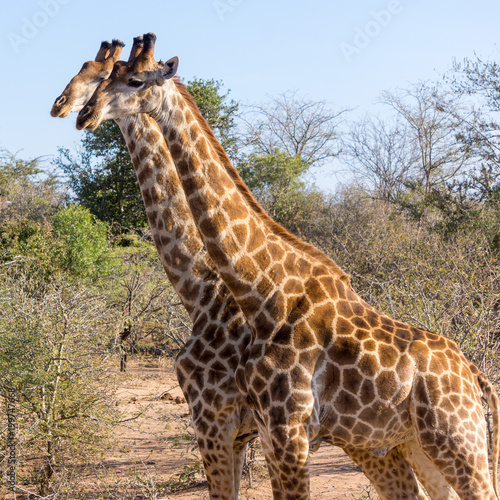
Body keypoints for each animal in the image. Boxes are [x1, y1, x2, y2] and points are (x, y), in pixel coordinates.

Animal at [75, 32, 500, 500]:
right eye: (104, 76)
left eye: (133, 80)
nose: (80, 113)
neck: (258, 292)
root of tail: (476, 377)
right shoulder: (261, 429)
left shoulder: (275, 428)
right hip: (414, 442)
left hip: (457, 440)